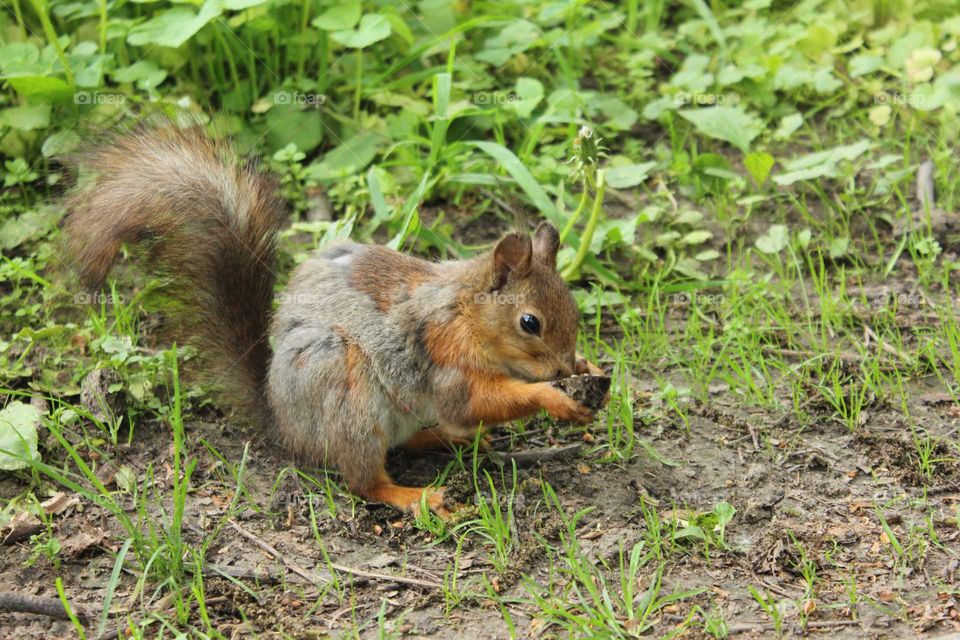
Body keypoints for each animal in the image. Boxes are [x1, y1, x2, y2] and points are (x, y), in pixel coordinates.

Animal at [60, 124, 604, 516]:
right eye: (529, 323)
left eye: (574, 310)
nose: (562, 368)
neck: (467, 313)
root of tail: (284, 424)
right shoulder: (443, 353)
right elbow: (475, 399)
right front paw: (555, 398)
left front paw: (588, 369)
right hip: (344, 391)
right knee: (364, 480)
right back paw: (415, 496)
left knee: (405, 442)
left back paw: (447, 438)